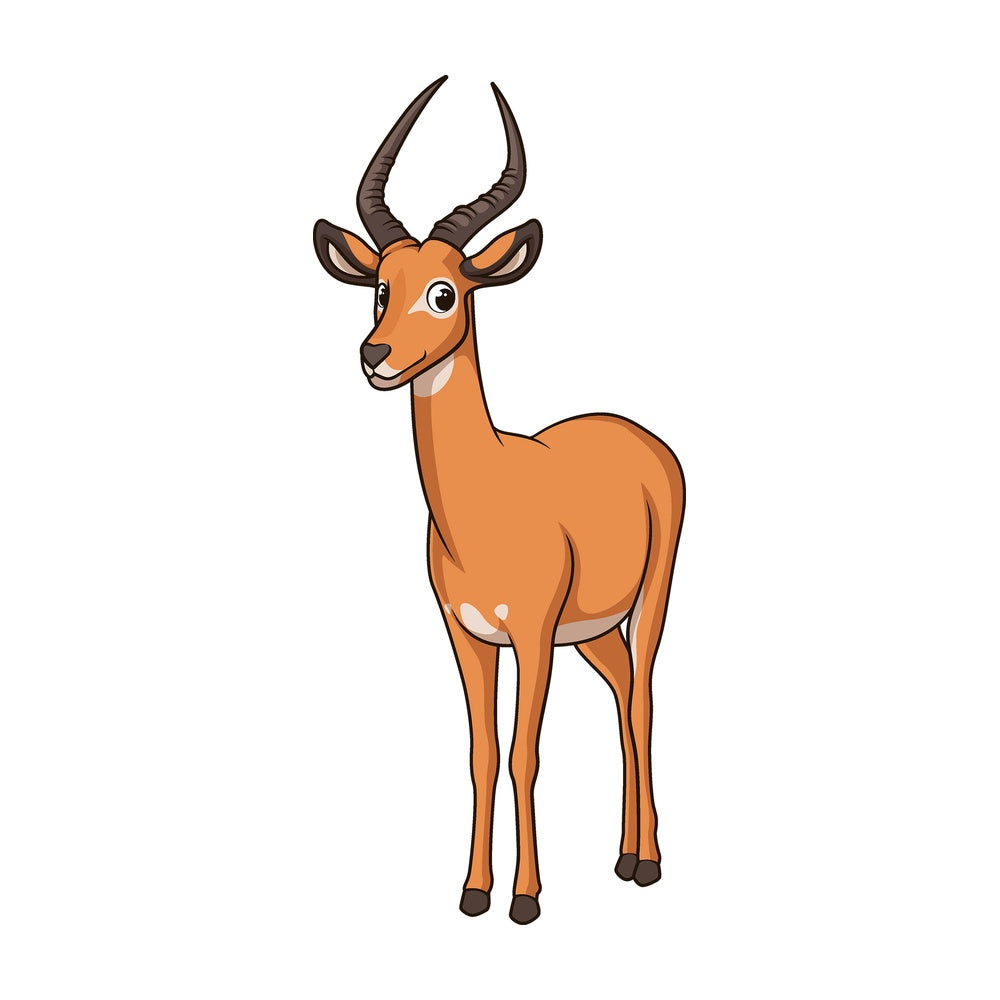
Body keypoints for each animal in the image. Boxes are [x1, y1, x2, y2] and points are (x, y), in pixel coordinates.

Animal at [313, 77, 685, 924]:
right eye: (380, 288)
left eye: (446, 291)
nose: (375, 355)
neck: (485, 505)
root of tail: (640, 437)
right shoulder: (467, 634)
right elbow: (482, 754)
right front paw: (474, 891)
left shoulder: (534, 636)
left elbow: (524, 754)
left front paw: (526, 898)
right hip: (594, 632)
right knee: (622, 697)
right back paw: (622, 858)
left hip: (649, 600)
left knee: (644, 702)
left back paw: (650, 864)